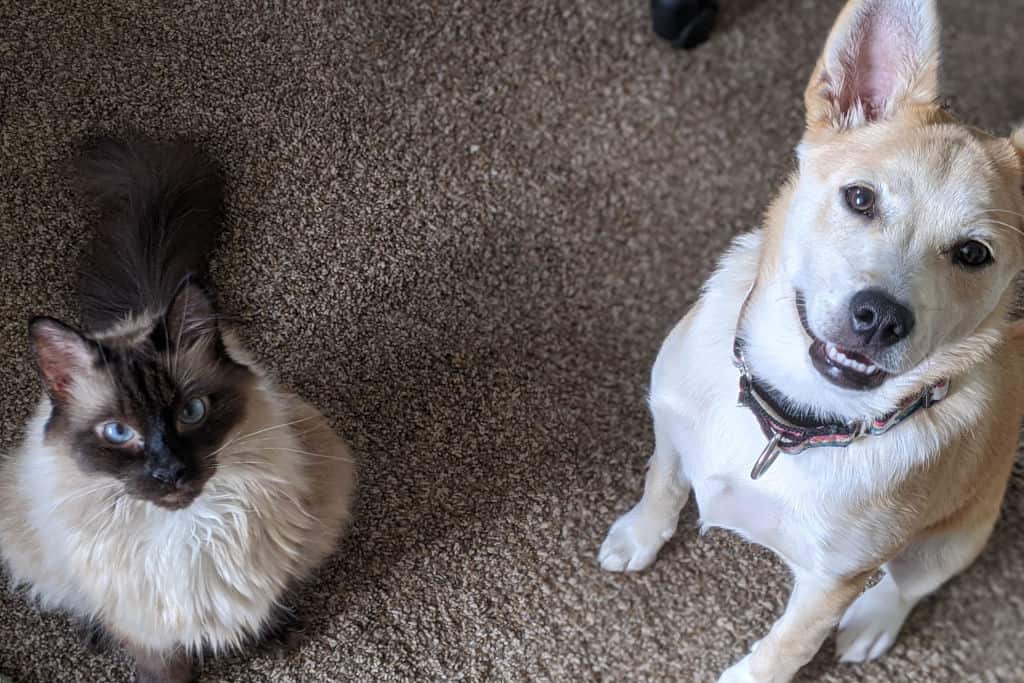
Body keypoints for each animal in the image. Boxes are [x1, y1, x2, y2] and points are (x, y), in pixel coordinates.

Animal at [0, 136, 356, 679]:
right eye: (118, 433)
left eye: (192, 413)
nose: (170, 471)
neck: (187, 532)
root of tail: (140, 312)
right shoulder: (146, 629)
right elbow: (165, 668)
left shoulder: (257, 570)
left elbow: (263, 601)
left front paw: (271, 635)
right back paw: (93, 631)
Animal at [598, 2, 1024, 679]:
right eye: (860, 198)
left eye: (973, 254)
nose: (880, 318)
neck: (792, 417)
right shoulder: (670, 426)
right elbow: (661, 485)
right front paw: (639, 537)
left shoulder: (831, 582)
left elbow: (788, 646)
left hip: (954, 540)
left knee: (907, 586)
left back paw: (874, 625)